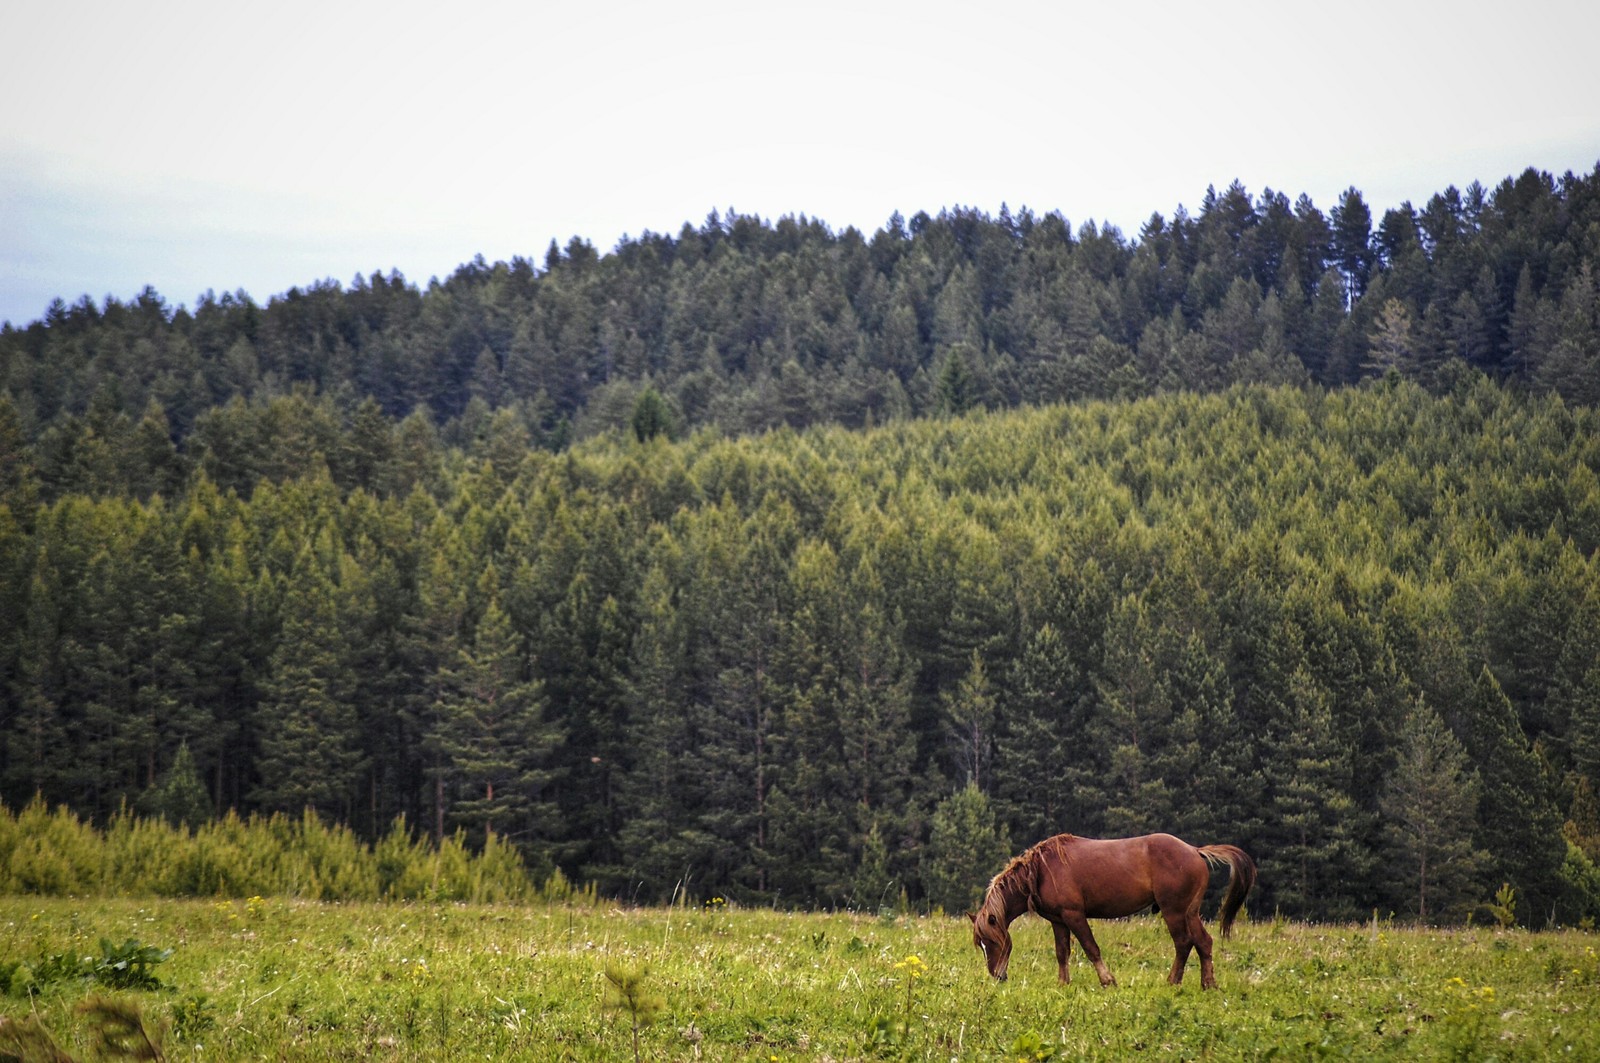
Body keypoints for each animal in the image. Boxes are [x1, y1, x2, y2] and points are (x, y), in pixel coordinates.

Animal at [966, 832, 1254, 986]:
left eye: (993, 942)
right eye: (981, 945)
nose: (997, 975)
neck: (1041, 870)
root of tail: (1195, 851)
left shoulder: (1074, 915)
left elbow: (1091, 948)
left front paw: (1107, 980)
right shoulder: (1058, 921)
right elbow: (1062, 952)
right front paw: (1063, 982)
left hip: (1174, 911)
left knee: (1183, 943)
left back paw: (1173, 981)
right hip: (1189, 912)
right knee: (1203, 942)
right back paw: (1208, 984)